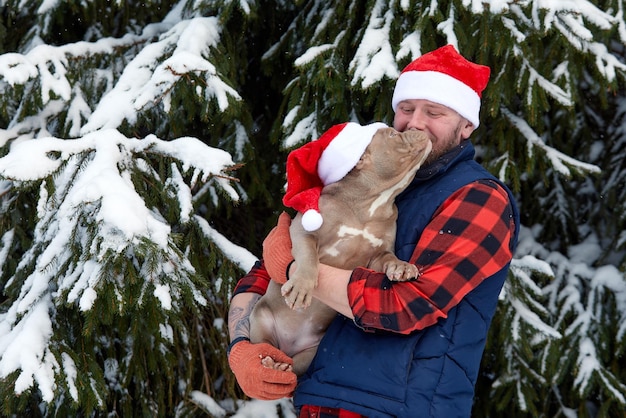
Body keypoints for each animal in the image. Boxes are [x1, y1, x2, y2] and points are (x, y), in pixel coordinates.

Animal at [249, 126, 428, 376]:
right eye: (393, 134)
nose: (416, 128)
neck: (372, 203)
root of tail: (287, 347)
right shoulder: (304, 230)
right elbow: (308, 257)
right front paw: (301, 287)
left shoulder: (378, 253)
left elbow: (389, 257)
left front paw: (401, 267)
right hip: (259, 319)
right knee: (262, 347)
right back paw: (266, 364)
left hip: (312, 352)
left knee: (294, 368)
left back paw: (280, 366)